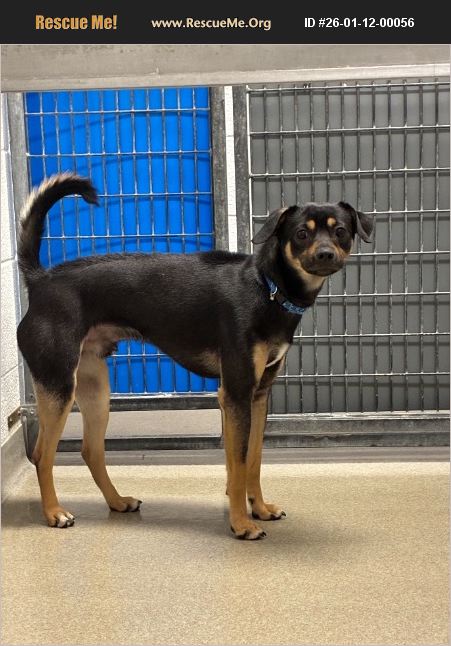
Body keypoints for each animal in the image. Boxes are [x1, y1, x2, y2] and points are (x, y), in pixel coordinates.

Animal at [17, 173, 373, 539]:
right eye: (302, 233)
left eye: (340, 231)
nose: (326, 254)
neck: (267, 288)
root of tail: (41, 281)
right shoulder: (235, 394)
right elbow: (238, 464)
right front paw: (241, 524)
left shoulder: (258, 395)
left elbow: (253, 461)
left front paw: (259, 509)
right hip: (58, 385)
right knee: (42, 454)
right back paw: (54, 512)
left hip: (95, 389)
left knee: (91, 451)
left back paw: (117, 502)